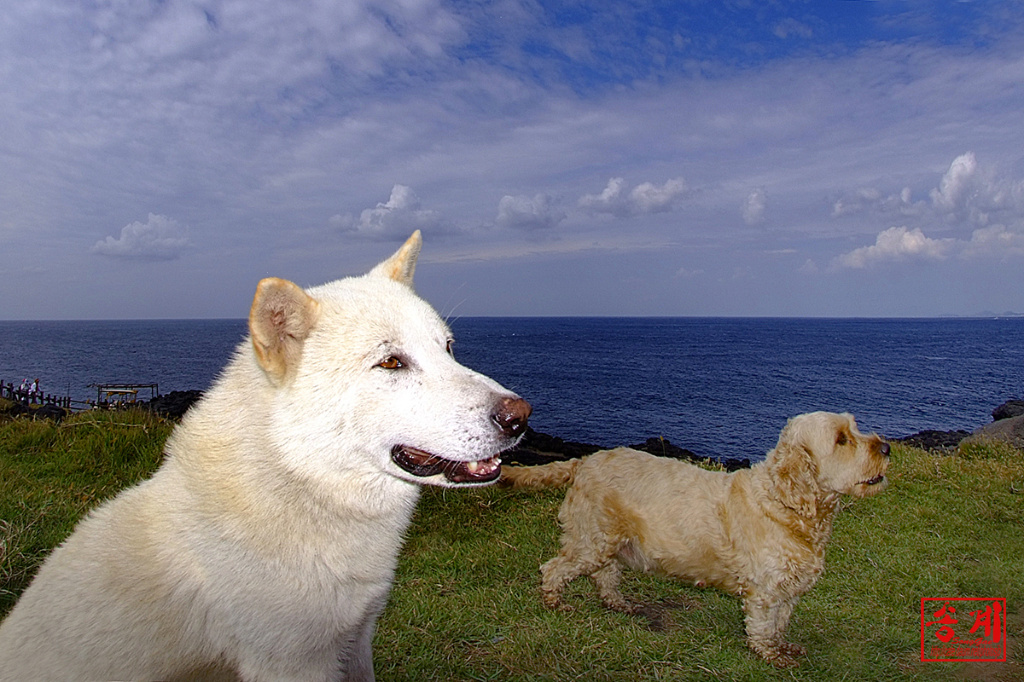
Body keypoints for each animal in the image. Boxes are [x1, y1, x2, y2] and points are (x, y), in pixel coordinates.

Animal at [0, 231, 528, 675]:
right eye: (391, 363)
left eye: (448, 348)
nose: (520, 416)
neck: (298, 481)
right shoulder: (294, 663)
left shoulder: (356, 640)